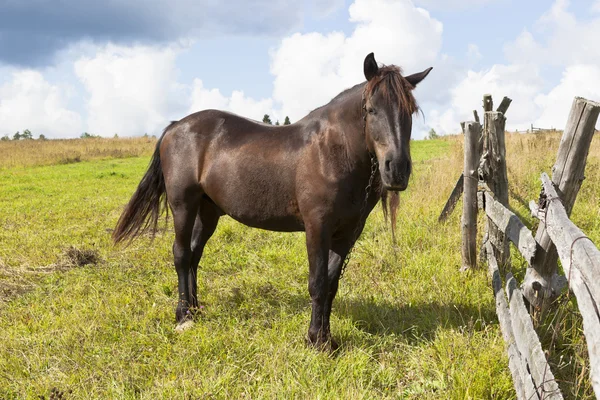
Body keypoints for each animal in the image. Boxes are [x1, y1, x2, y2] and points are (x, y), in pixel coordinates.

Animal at [112, 53, 432, 350]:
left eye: (410, 111)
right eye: (370, 109)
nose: (397, 169)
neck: (333, 152)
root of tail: (176, 126)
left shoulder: (348, 233)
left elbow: (331, 284)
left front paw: (328, 339)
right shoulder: (317, 227)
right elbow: (317, 282)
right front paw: (315, 340)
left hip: (208, 211)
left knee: (193, 255)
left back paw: (195, 309)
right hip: (183, 205)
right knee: (180, 255)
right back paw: (183, 317)